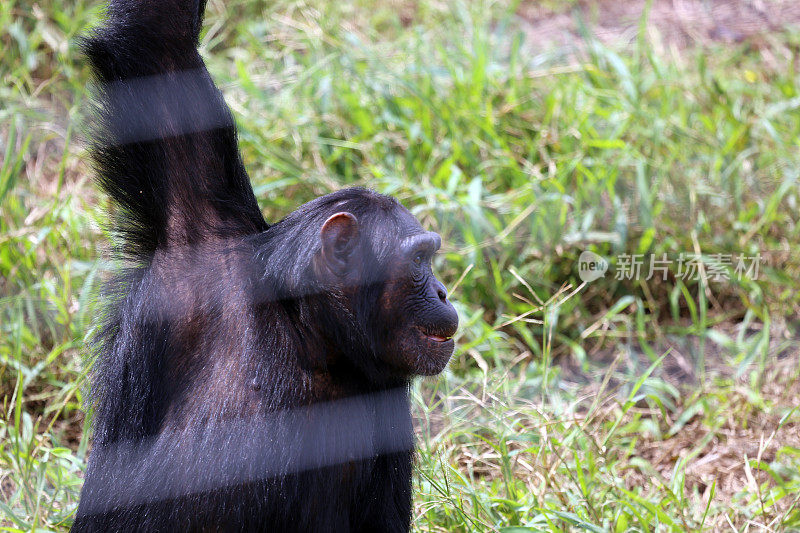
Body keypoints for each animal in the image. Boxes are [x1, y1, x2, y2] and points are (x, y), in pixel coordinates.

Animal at [73, 0, 462, 528]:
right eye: (420, 258)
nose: (442, 291)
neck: (307, 331)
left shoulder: (388, 407)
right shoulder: (197, 240)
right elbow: (158, 45)